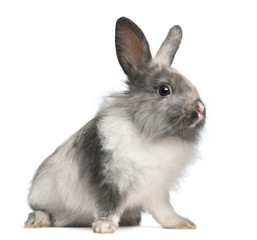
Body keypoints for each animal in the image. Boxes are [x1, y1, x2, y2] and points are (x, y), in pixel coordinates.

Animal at [24, 16, 204, 232]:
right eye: (164, 90)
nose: (200, 109)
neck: (150, 135)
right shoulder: (111, 182)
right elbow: (109, 205)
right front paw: (104, 226)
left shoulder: (156, 190)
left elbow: (164, 211)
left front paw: (182, 223)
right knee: (45, 212)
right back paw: (37, 220)